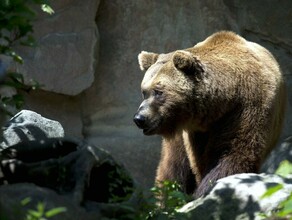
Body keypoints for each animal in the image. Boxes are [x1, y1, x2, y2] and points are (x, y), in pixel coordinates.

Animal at [133, 31, 286, 198]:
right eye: (144, 91)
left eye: (158, 91)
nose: (139, 118)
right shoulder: (194, 132)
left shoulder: (245, 109)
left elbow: (232, 153)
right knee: (173, 167)